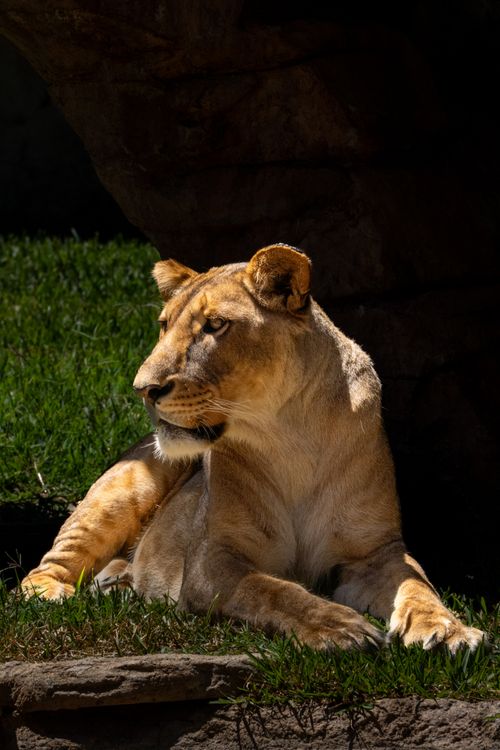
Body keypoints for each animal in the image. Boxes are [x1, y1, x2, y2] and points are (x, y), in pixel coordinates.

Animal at [21, 244, 484, 652]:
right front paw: (340, 627)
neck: (291, 436)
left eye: (214, 325)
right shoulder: (212, 559)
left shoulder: (375, 552)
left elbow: (417, 584)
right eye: (164, 324)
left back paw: (117, 583)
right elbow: (273, 590)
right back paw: (57, 594)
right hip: (126, 485)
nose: (143, 389)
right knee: (41, 570)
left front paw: (448, 630)